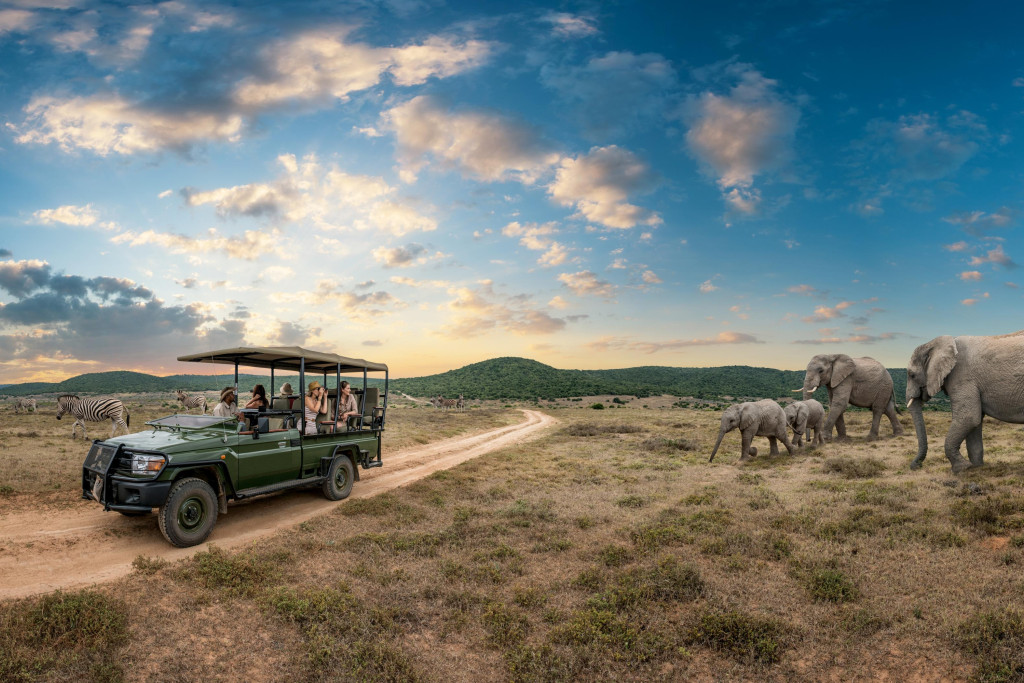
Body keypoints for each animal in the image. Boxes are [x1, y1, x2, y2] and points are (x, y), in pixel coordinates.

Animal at [906, 331, 1024, 473]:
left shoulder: (962, 377)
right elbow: (975, 422)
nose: (917, 466)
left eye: (912, 375)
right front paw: (976, 468)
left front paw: (962, 468)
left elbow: (969, 418)